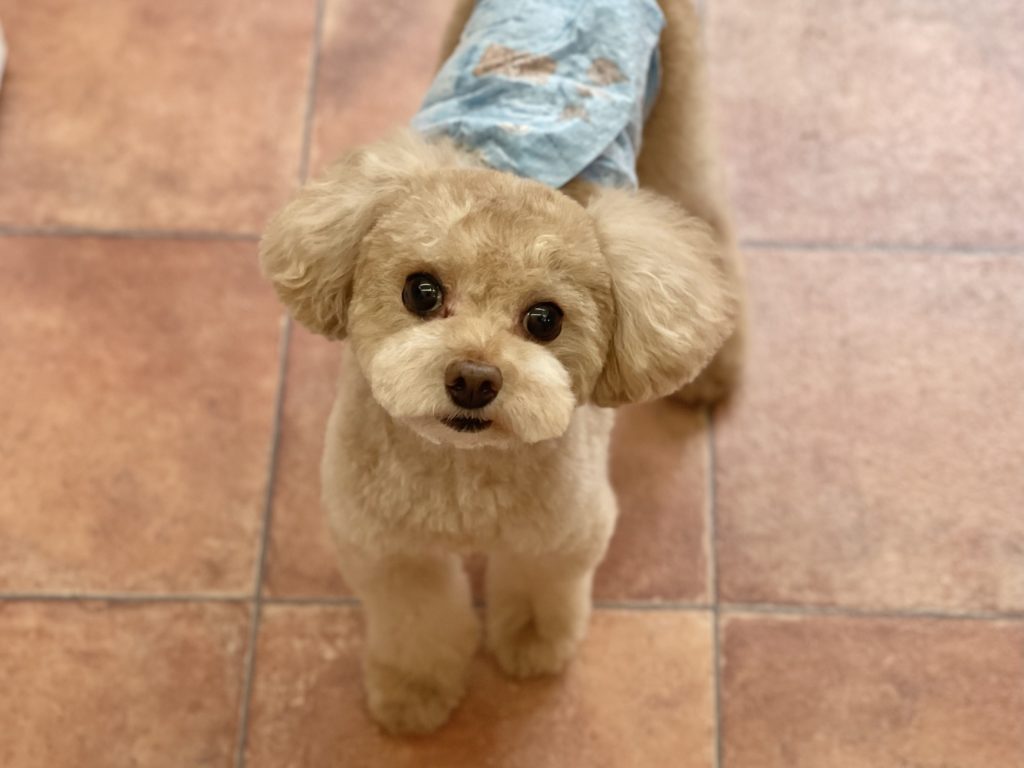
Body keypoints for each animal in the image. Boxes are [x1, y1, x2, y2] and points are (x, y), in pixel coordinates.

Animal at [259, 0, 743, 735]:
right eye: (421, 291)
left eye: (545, 320)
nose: (473, 379)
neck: (462, 471)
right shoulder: (386, 548)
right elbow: (416, 624)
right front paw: (413, 695)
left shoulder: (565, 534)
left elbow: (540, 592)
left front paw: (533, 648)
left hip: (680, 120)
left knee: (712, 225)